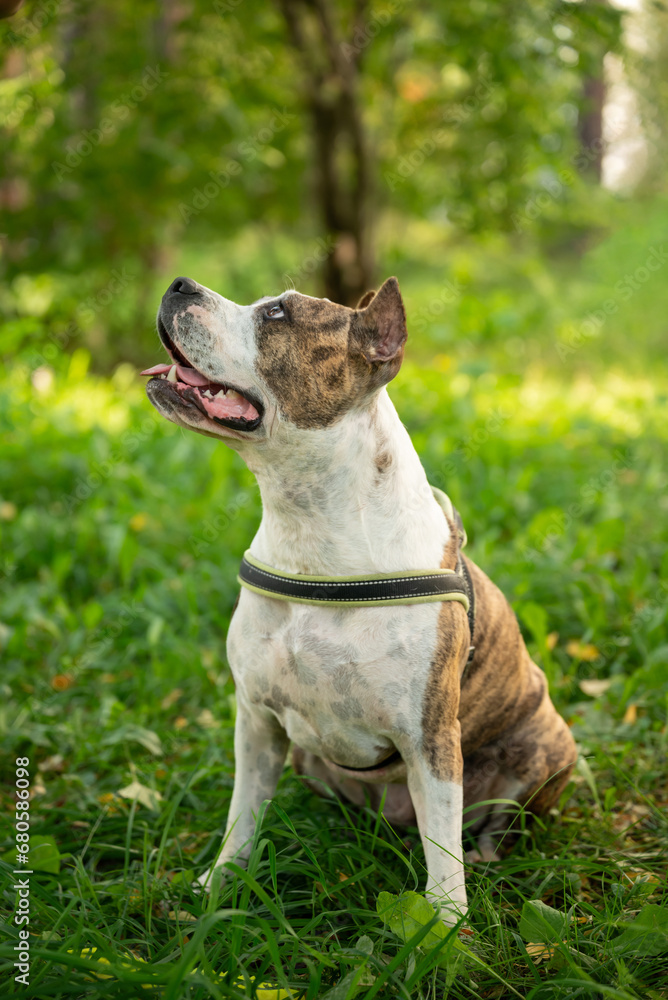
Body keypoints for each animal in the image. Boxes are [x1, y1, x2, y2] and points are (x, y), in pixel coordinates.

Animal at [142, 272, 580, 920]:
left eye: (276, 314)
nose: (179, 284)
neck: (311, 526)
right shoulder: (256, 723)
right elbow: (242, 813)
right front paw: (219, 883)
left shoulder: (428, 739)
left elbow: (442, 847)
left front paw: (445, 927)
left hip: (546, 748)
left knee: (492, 826)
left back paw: (484, 854)